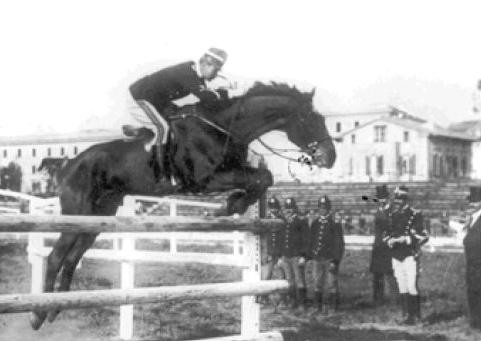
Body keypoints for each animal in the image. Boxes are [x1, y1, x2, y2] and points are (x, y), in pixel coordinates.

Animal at [30, 81, 336, 328]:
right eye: (311, 118)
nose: (330, 157)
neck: (224, 127)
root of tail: (68, 163)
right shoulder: (207, 179)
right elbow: (261, 177)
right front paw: (231, 205)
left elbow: (262, 177)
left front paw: (233, 204)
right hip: (76, 212)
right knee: (56, 256)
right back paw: (37, 315)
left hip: (97, 218)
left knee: (71, 258)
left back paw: (56, 308)